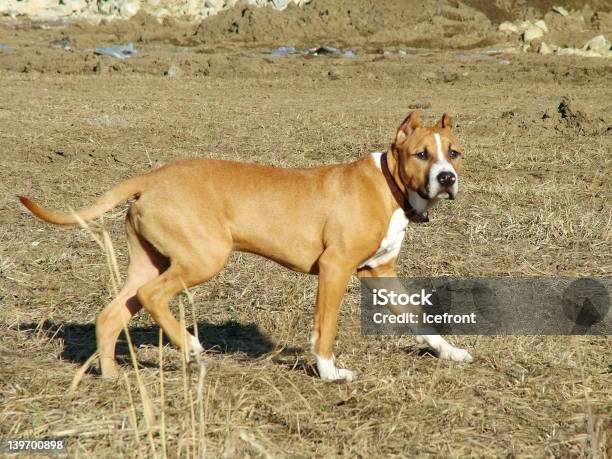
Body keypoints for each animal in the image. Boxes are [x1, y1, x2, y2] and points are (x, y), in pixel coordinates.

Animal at [17, 111, 468, 380]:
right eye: (421, 154)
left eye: (454, 153)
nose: (447, 178)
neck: (389, 186)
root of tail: (152, 177)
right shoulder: (334, 269)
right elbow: (325, 328)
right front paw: (328, 371)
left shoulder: (380, 273)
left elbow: (420, 319)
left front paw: (449, 352)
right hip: (204, 257)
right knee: (152, 296)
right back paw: (191, 347)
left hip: (150, 261)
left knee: (112, 313)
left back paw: (113, 376)